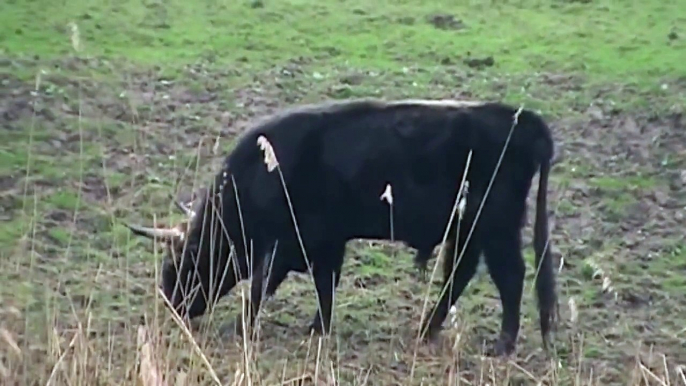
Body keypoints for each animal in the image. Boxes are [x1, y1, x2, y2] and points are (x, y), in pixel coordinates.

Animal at [126, 98, 560, 358]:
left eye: (182, 263)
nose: (172, 305)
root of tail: (518, 116)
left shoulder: (289, 244)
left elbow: (265, 286)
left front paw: (243, 326)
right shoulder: (324, 244)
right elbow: (324, 285)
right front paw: (318, 327)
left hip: (495, 227)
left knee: (510, 276)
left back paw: (502, 344)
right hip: (470, 228)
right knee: (461, 273)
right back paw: (427, 329)